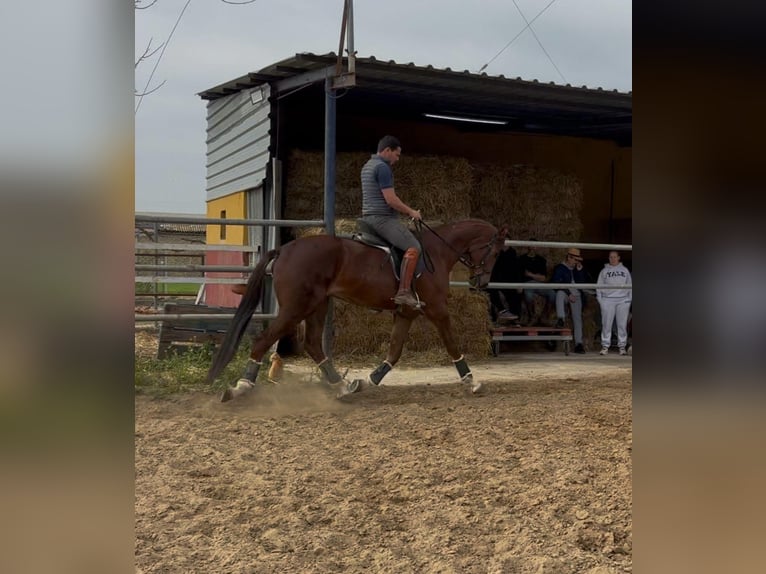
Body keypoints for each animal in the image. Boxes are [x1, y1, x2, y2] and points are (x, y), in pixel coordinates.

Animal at [210, 218, 510, 402]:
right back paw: (240, 387)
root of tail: (284, 250)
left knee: (312, 344)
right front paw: (471, 382)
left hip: (317, 305)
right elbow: (451, 343)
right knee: (264, 340)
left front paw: (368, 381)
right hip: (296, 308)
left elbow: (394, 351)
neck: (435, 251)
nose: (481, 283)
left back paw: (342, 387)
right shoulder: (437, 309)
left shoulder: (406, 313)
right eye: (495, 252)